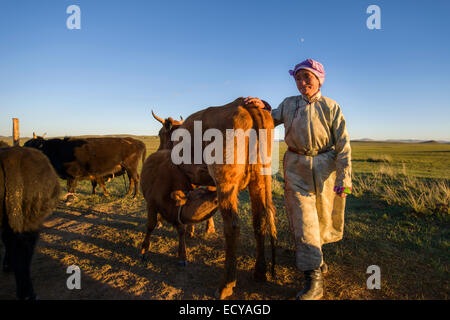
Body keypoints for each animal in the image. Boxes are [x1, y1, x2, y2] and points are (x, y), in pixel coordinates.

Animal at [153, 96, 276, 298]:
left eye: (160, 133)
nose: (158, 151)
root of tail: (245, 105)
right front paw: (207, 228)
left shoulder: (191, 176)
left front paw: (189, 230)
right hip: (258, 181)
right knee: (259, 221)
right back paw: (260, 271)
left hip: (226, 182)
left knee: (233, 227)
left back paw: (226, 284)